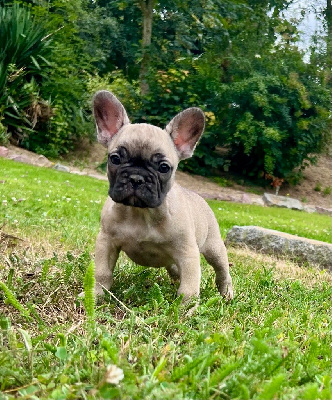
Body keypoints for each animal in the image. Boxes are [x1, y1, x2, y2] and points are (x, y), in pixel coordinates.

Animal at [92, 90, 233, 304]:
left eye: (164, 167)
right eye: (115, 159)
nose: (137, 177)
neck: (140, 213)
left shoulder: (188, 254)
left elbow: (189, 288)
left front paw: (185, 309)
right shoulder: (106, 242)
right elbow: (102, 273)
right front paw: (96, 296)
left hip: (214, 248)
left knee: (222, 270)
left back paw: (226, 293)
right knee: (175, 269)